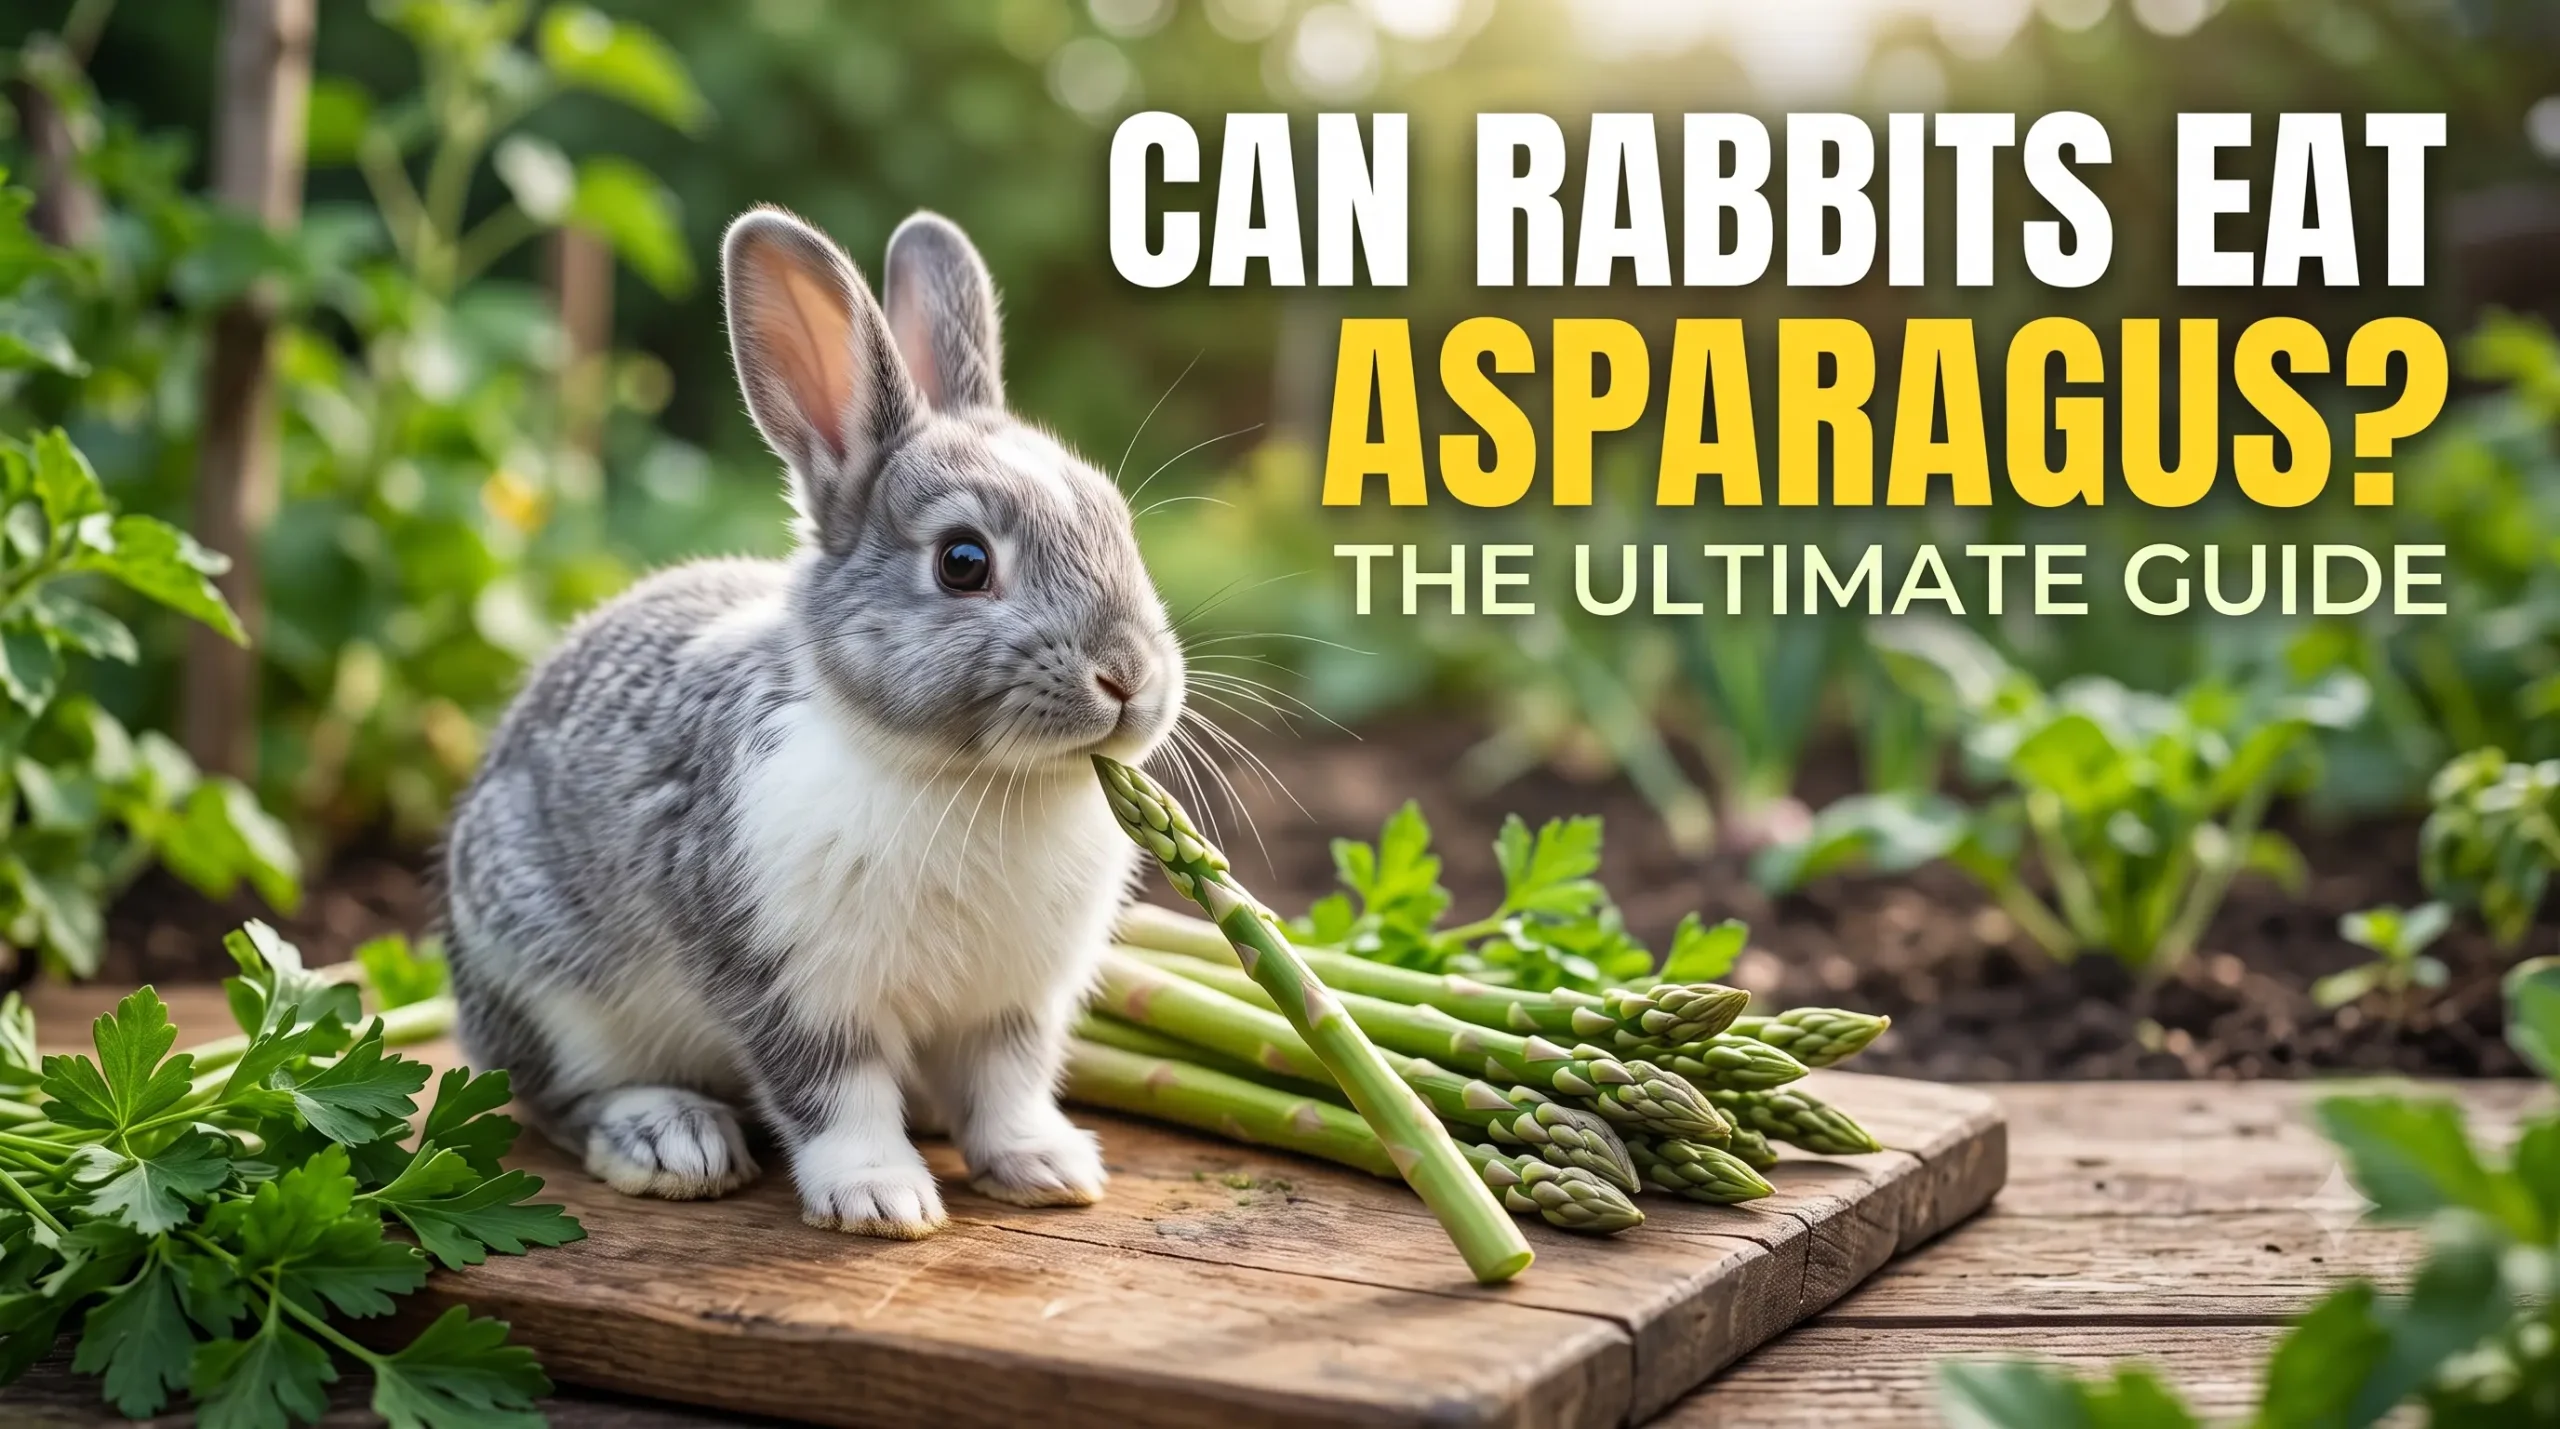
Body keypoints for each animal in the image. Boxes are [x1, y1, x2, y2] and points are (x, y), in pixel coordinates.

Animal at [440, 206, 1185, 1239]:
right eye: (962, 561)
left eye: (1118, 523)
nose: (1128, 678)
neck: (967, 777)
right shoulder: (792, 985)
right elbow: (835, 1094)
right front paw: (880, 1198)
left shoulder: (1013, 1006)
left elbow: (1007, 1088)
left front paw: (1046, 1166)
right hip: (548, 986)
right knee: (557, 1097)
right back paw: (671, 1139)